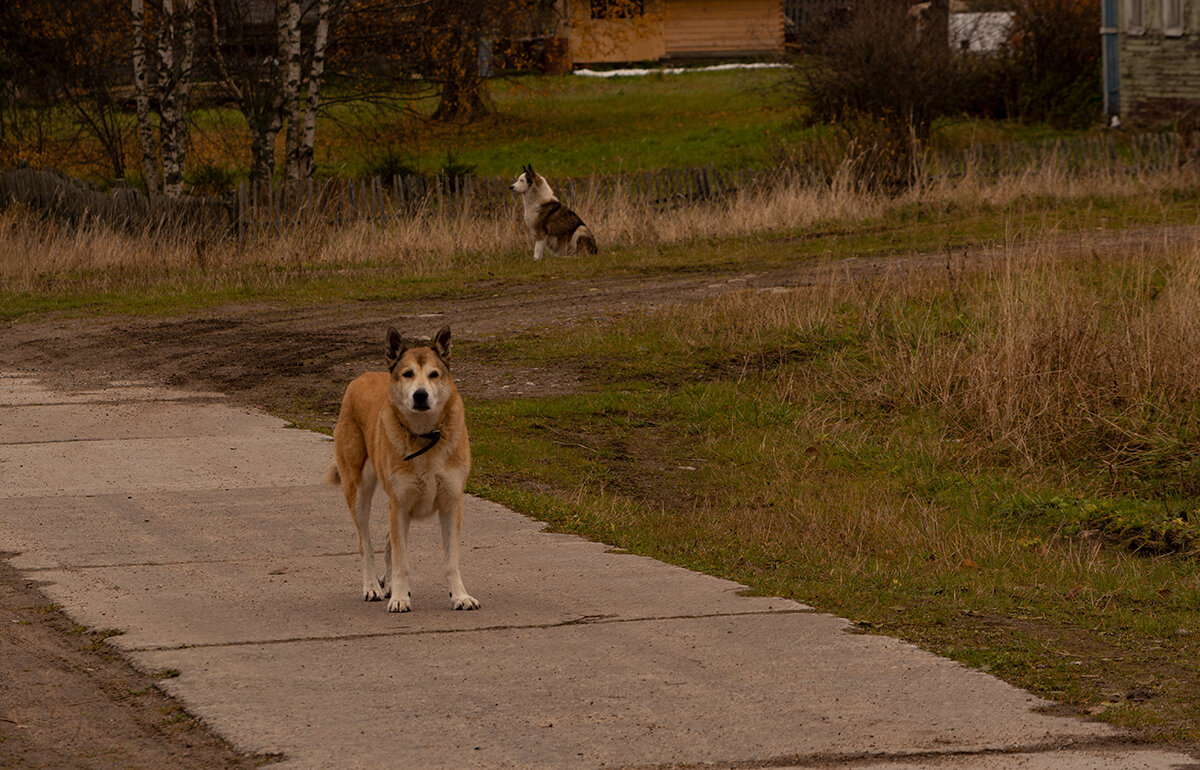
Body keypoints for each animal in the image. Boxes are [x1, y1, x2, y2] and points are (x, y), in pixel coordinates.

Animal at [326, 323, 480, 611]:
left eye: (433, 374)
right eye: (408, 374)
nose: (420, 395)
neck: (425, 437)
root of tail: (361, 377)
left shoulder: (451, 505)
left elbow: (450, 561)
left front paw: (460, 595)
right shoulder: (399, 505)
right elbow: (402, 562)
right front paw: (399, 597)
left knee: (387, 542)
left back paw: (386, 585)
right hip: (358, 493)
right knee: (365, 544)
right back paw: (373, 587)